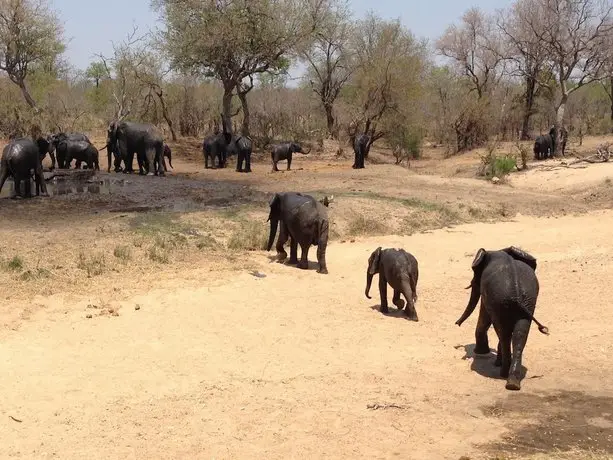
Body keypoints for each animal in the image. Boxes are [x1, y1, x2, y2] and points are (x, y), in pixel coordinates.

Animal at [454, 248, 548, 392]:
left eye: (475, 274)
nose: (457, 323)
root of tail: (516, 295)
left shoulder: (487, 293)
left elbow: (485, 316)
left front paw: (481, 353)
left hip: (502, 300)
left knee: (504, 333)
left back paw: (504, 374)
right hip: (527, 300)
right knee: (519, 334)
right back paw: (512, 382)